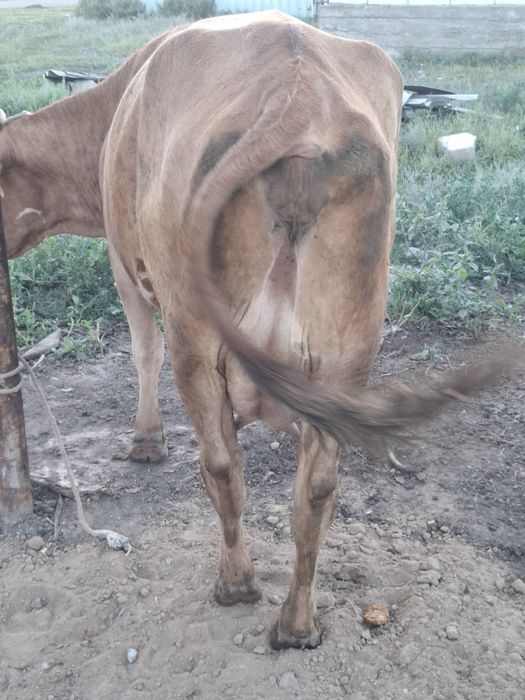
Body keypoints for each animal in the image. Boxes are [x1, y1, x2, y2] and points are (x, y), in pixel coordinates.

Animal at [0, 11, 509, 649]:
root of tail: (297, 84)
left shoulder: (122, 262)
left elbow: (143, 350)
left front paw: (146, 440)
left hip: (195, 333)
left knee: (221, 464)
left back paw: (236, 585)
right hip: (347, 350)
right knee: (316, 489)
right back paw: (297, 624)